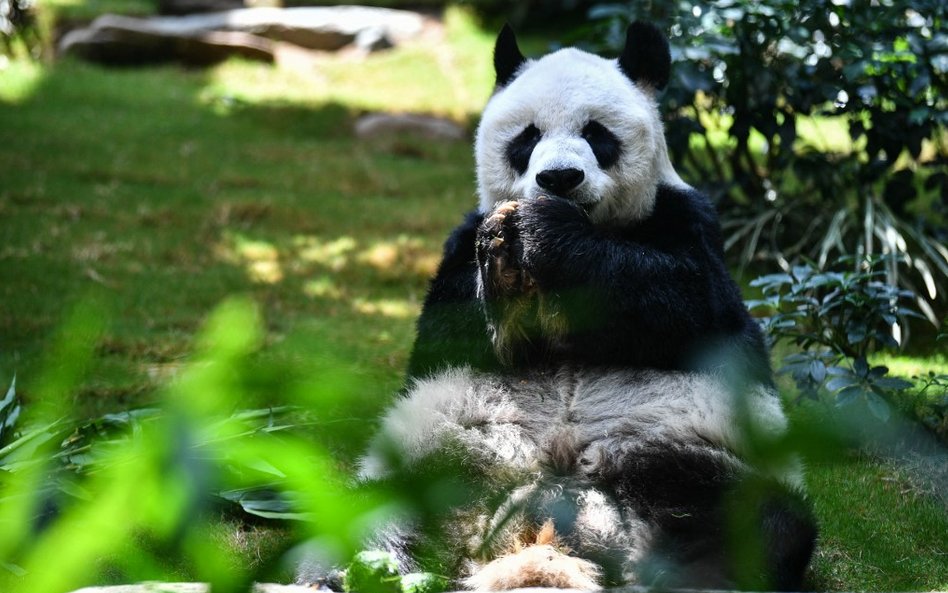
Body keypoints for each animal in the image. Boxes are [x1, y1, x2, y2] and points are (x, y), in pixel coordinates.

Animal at [348, 20, 816, 588]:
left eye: (597, 134)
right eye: (528, 137)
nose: (559, 179)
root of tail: (542, 529)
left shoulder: (689, 222)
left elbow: (686, 300)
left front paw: (546, 234)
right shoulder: (458, 247)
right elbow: (456, 328)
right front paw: (505, 262)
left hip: (690, 459)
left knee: (757, 525)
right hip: (439, 461)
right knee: (373, 516)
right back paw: (373, 569)